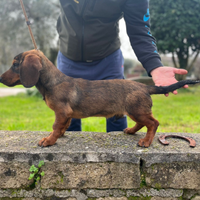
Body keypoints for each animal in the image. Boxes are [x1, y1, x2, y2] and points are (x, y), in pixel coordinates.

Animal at [0, 49, 199, 147]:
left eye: (15, 65)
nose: (0, 78)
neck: (52, 82)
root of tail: (144, 86)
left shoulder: (61, 112)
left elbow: (56, 127)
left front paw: (49, 141)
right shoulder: (67, 114)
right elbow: (62, 126)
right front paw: (59, 135)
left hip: (136, 110)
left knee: (153, 123)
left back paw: (146, 142)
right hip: (135, 111)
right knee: (143, 123)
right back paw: (131, 131)